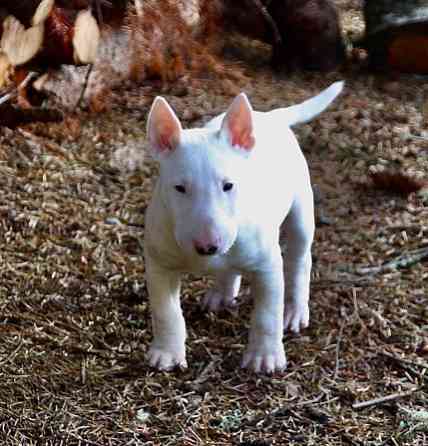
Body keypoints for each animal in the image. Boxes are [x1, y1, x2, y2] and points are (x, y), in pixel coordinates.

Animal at [144, 80, 344, 372]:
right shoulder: (160, 265)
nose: (208, 246)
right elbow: (165, 311)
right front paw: (167, 353)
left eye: (228, 185)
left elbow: (267, 315)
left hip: (301, 212)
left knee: (299, 260)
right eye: (179, 188)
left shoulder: (267, 266)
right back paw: (221, 294)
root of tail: (270, 116)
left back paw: (295, 311)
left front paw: (265, 357)